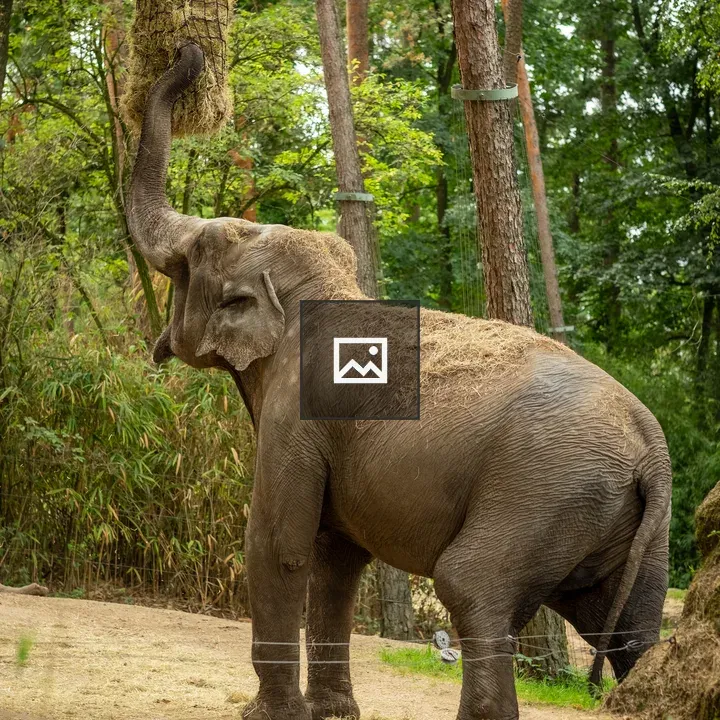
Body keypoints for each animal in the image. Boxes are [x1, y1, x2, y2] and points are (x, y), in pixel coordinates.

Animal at [127, 43, 672, 720]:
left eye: (185, 262)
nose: (190, 53)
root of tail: (650, 448)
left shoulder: (296, 417)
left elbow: (278, 546)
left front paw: (267, 715)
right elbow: (337, 559)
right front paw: (333, 713)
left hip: (539, 494)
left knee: (470, 584)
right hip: (623, 525)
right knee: (629, 628)